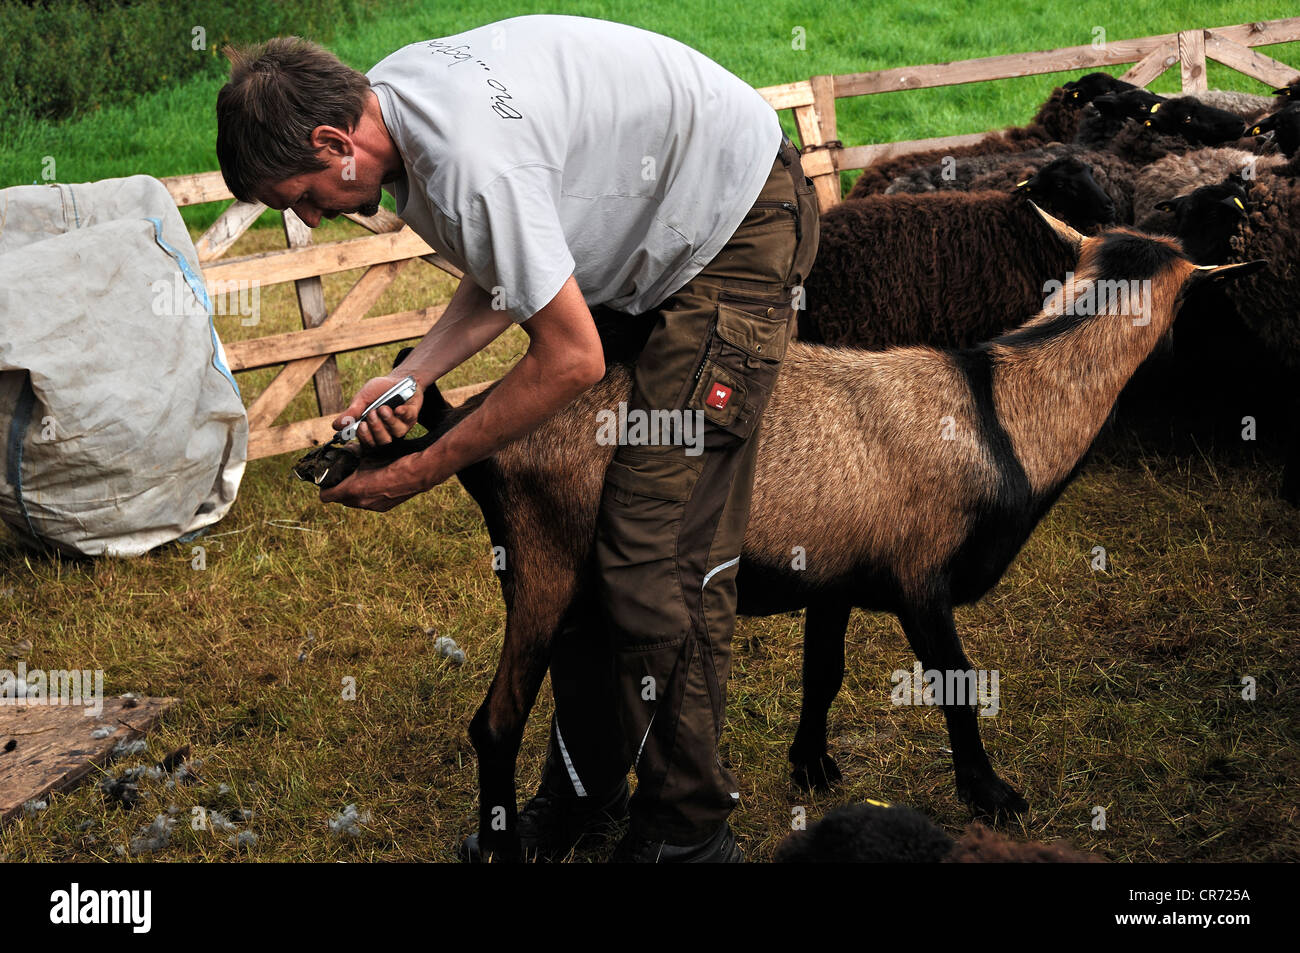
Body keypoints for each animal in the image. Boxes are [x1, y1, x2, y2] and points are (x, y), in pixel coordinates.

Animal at [292, 204, 1258, 858]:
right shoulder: (922, 579)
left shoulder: (837, 571)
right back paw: (504, 846)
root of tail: (479, 423)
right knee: (494, 722)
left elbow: (822, 671)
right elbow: (954, 684)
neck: (1003, 409)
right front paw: (991, 792)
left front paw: (813, 766)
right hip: (544, 561)